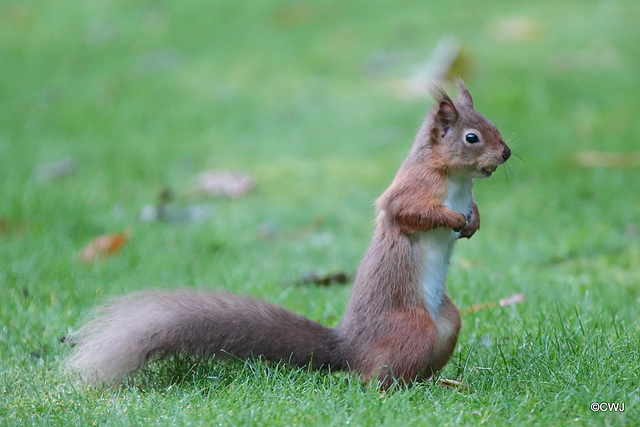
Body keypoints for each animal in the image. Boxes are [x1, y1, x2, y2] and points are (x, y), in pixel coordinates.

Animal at [66, 81, 510, 392]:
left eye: (494, 125)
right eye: (471, 137)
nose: (506, 153)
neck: (455, 179)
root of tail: (349, 348)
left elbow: (473, 208)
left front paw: (473, 220)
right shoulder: (408, 192)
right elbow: (410, 212)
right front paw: (452, 218)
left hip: (447, 324)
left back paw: (445, 384)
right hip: (412, 330)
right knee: (373, 380)